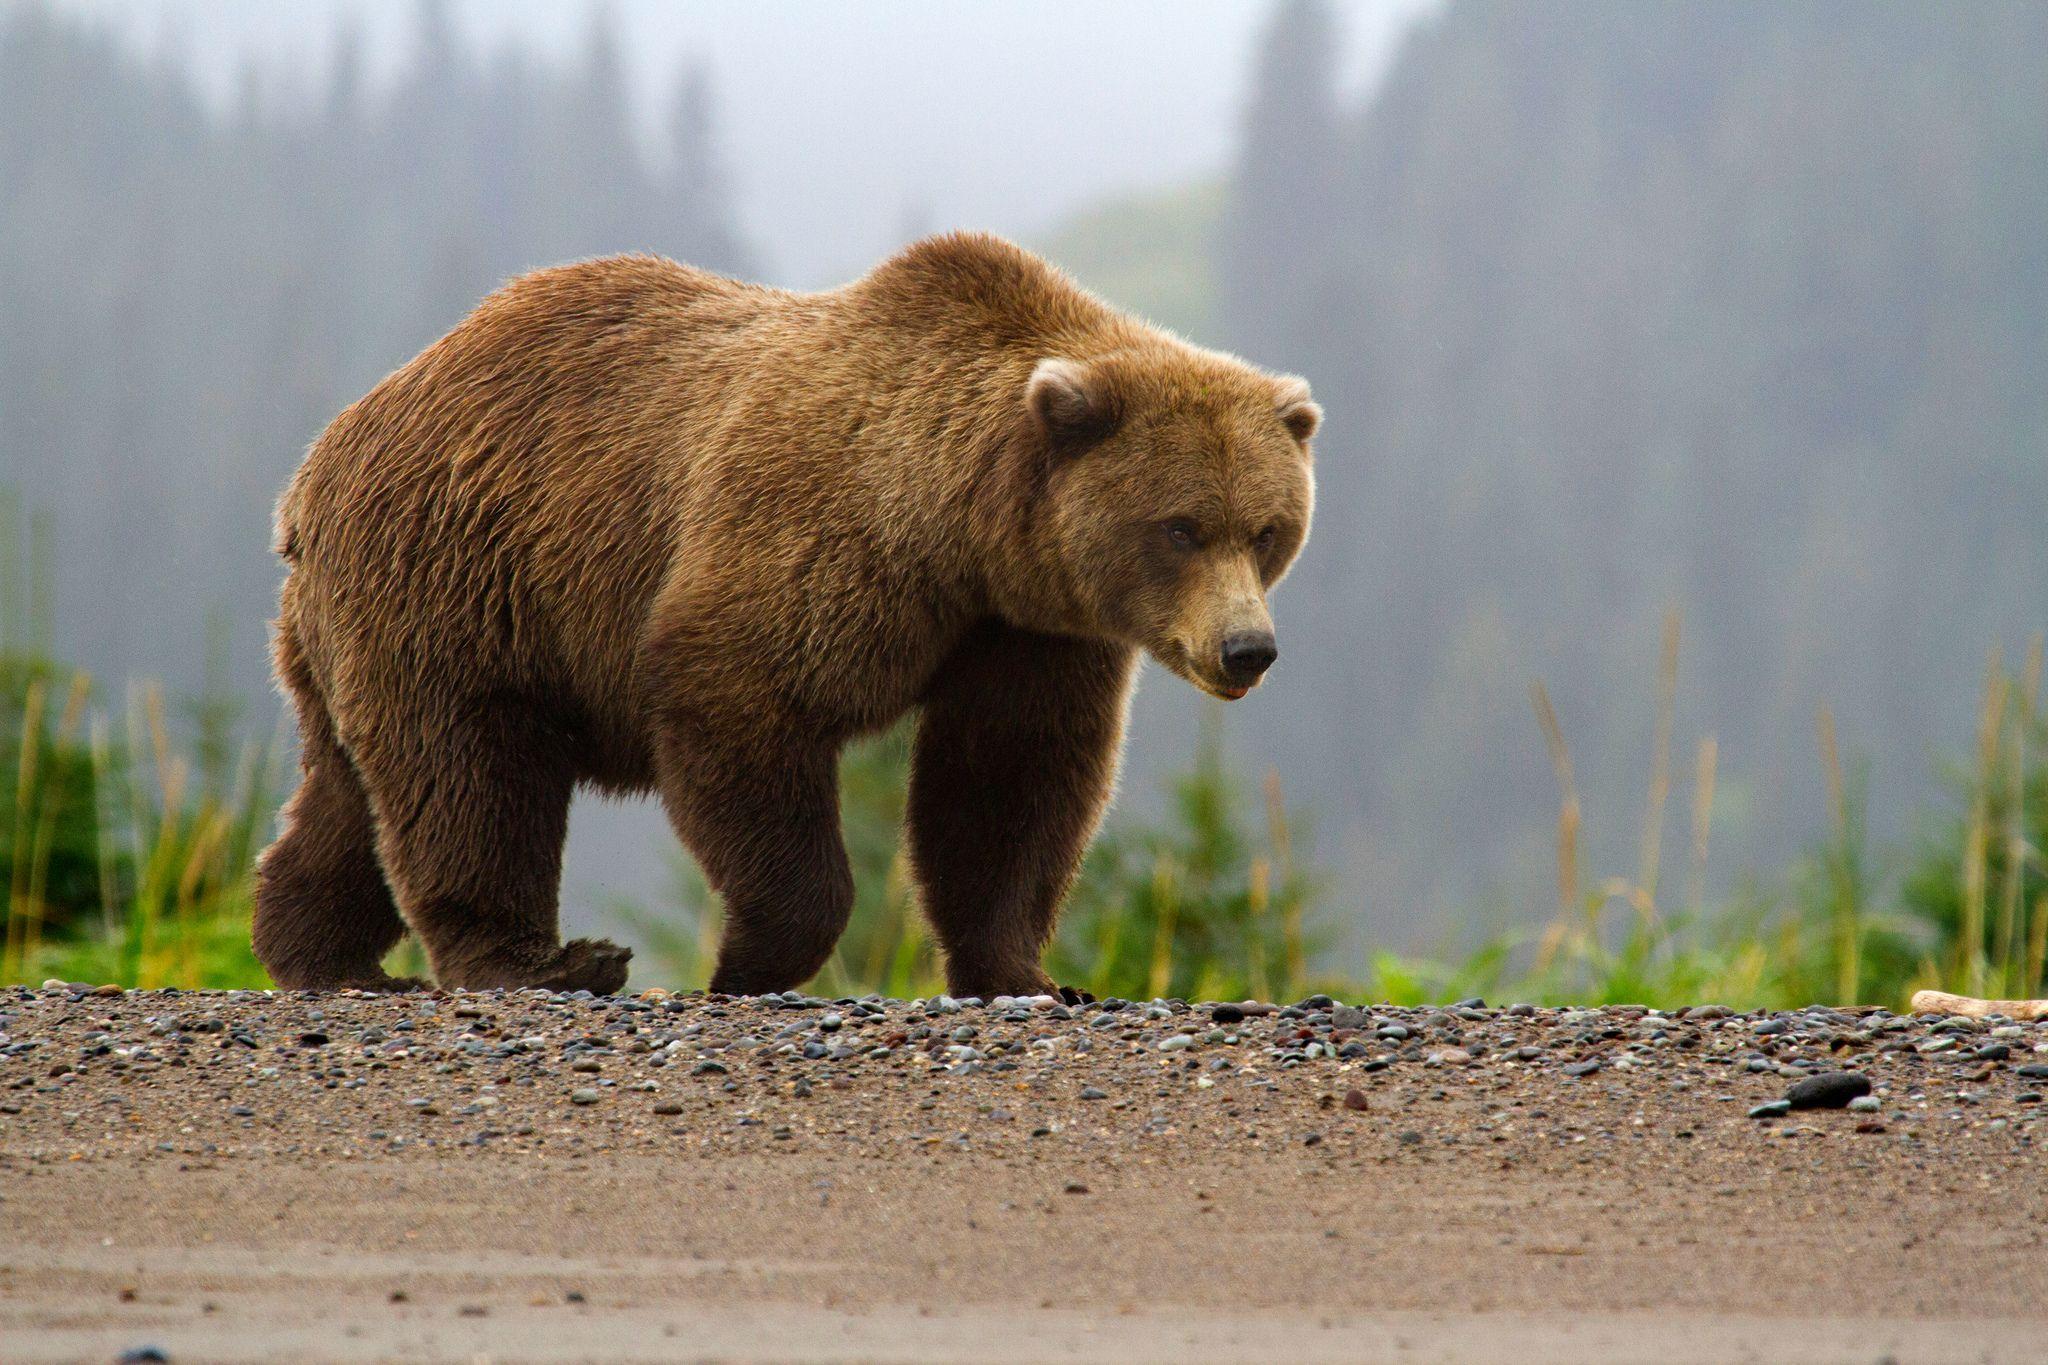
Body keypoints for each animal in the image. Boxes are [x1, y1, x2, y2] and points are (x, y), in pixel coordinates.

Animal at [247, 235, 1318, 998]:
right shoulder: (817, 536)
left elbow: (1010, 781)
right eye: (1179, 526)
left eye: (1268, 528)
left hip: (364, 621)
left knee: (352, 791)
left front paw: (1028, 973)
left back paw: (319, 951)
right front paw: (748, 960)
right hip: (464, 575)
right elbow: (742, 700)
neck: (961, 531)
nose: (1248, 649)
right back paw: (541, 961)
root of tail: (319, 462)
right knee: (469, 774)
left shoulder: (1028, 629)